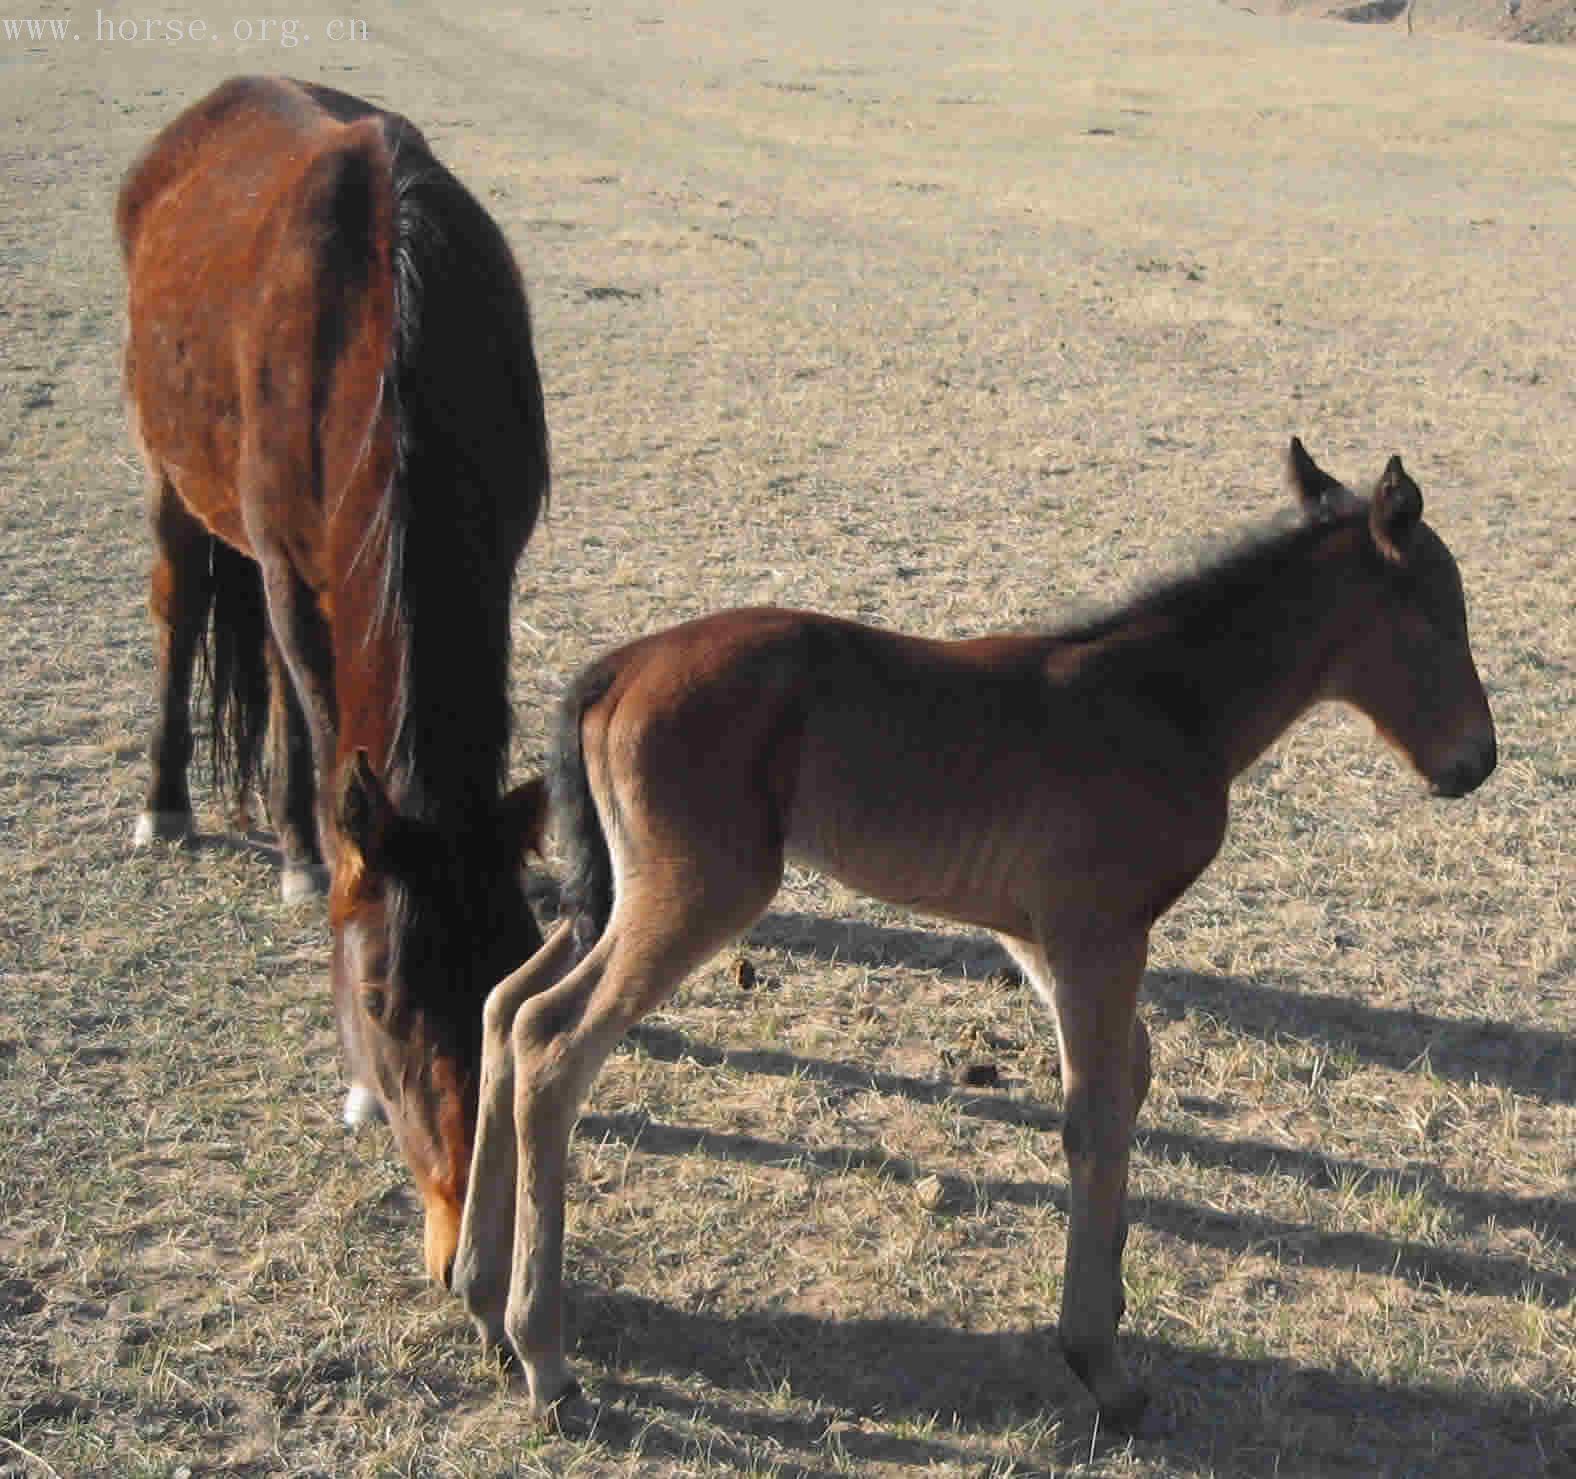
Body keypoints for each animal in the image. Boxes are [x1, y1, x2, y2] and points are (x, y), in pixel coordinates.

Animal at [118, 80, 548, 1280]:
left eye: (509, 975)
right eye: (378, 1002)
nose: (465, 1253)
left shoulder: (496, 554)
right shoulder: (287, 565)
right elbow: (318, 731)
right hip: (174, 479)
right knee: (183, 614)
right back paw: (179, 809)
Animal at [453, 441, 1487, 1431]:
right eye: (1442, 619)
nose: (1478, 761)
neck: (1163, 699)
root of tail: (617, 668)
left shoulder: (1043, 939)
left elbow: (1130, 1082)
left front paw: (1111, 1303)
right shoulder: (1099, 935)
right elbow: (1095, 1113)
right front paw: (1102, 1367)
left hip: (614, 894)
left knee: (503, 1005)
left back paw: (481, 1297)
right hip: (698, 892)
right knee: (553, 1041)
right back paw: (545, 1358)